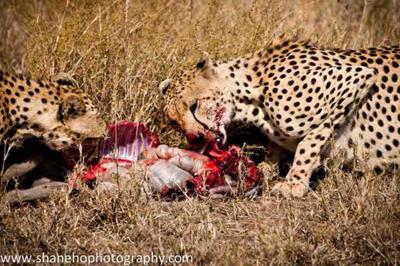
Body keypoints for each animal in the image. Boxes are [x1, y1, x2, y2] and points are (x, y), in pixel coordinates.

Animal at [159, 39, 400, 197]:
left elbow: (309, 142)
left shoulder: (356, 79)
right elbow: (276, 148)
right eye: (173, 122)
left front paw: (294, 183)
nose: (195, 138)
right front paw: (264, 168)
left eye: (194, 105)